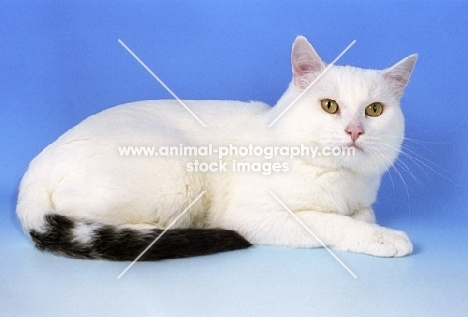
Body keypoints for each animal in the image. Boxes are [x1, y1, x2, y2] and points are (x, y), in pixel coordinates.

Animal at [17, 36, 416, 260]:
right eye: (329, 106)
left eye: (374, 110)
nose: (354, 130)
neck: (342, 180)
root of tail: (36, 166)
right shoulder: (254, 215)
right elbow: (330, 222)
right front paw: (384, 237)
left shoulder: (362, 201)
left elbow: (363, 214)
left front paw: (366, 222)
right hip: (176, 174)